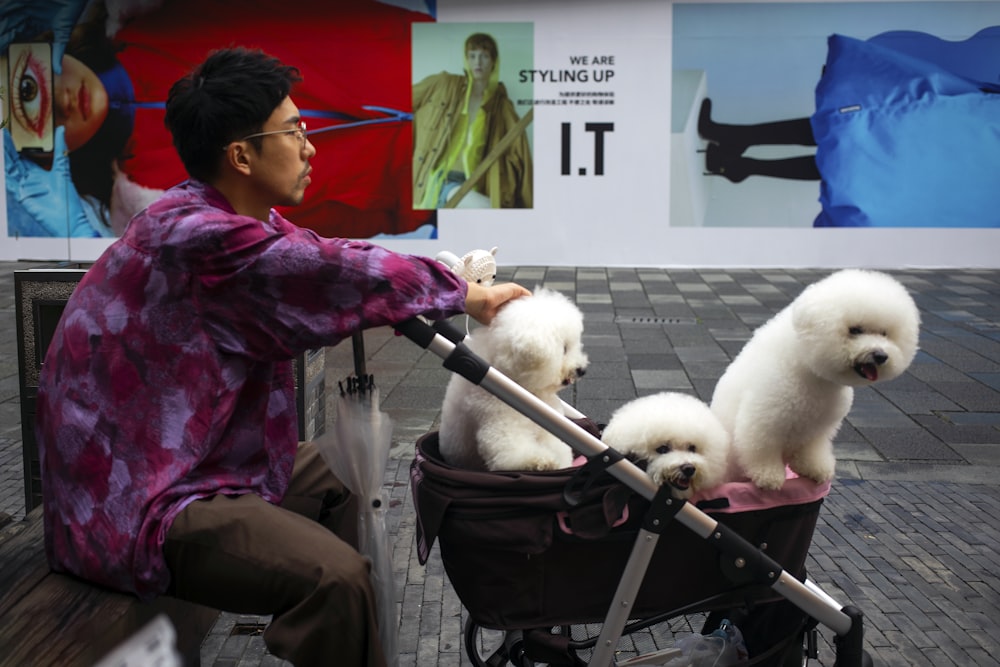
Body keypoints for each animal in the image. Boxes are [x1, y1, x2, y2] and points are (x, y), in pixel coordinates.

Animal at [438, 290, 584, 472]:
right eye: (564, 348)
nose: (581, 370)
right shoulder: (498, 422)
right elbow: (510, 453)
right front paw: (542, 462)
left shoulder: (549, 428)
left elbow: (558, 447)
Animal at [712, 268, 920, 494]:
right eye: (855, 330)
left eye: (884, 333)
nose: (881, 355)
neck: (809, 370)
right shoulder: (764, 419)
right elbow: (761, 448)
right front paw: (769, 476)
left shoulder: (819, 427)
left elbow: (812, 449)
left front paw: (814, 468)